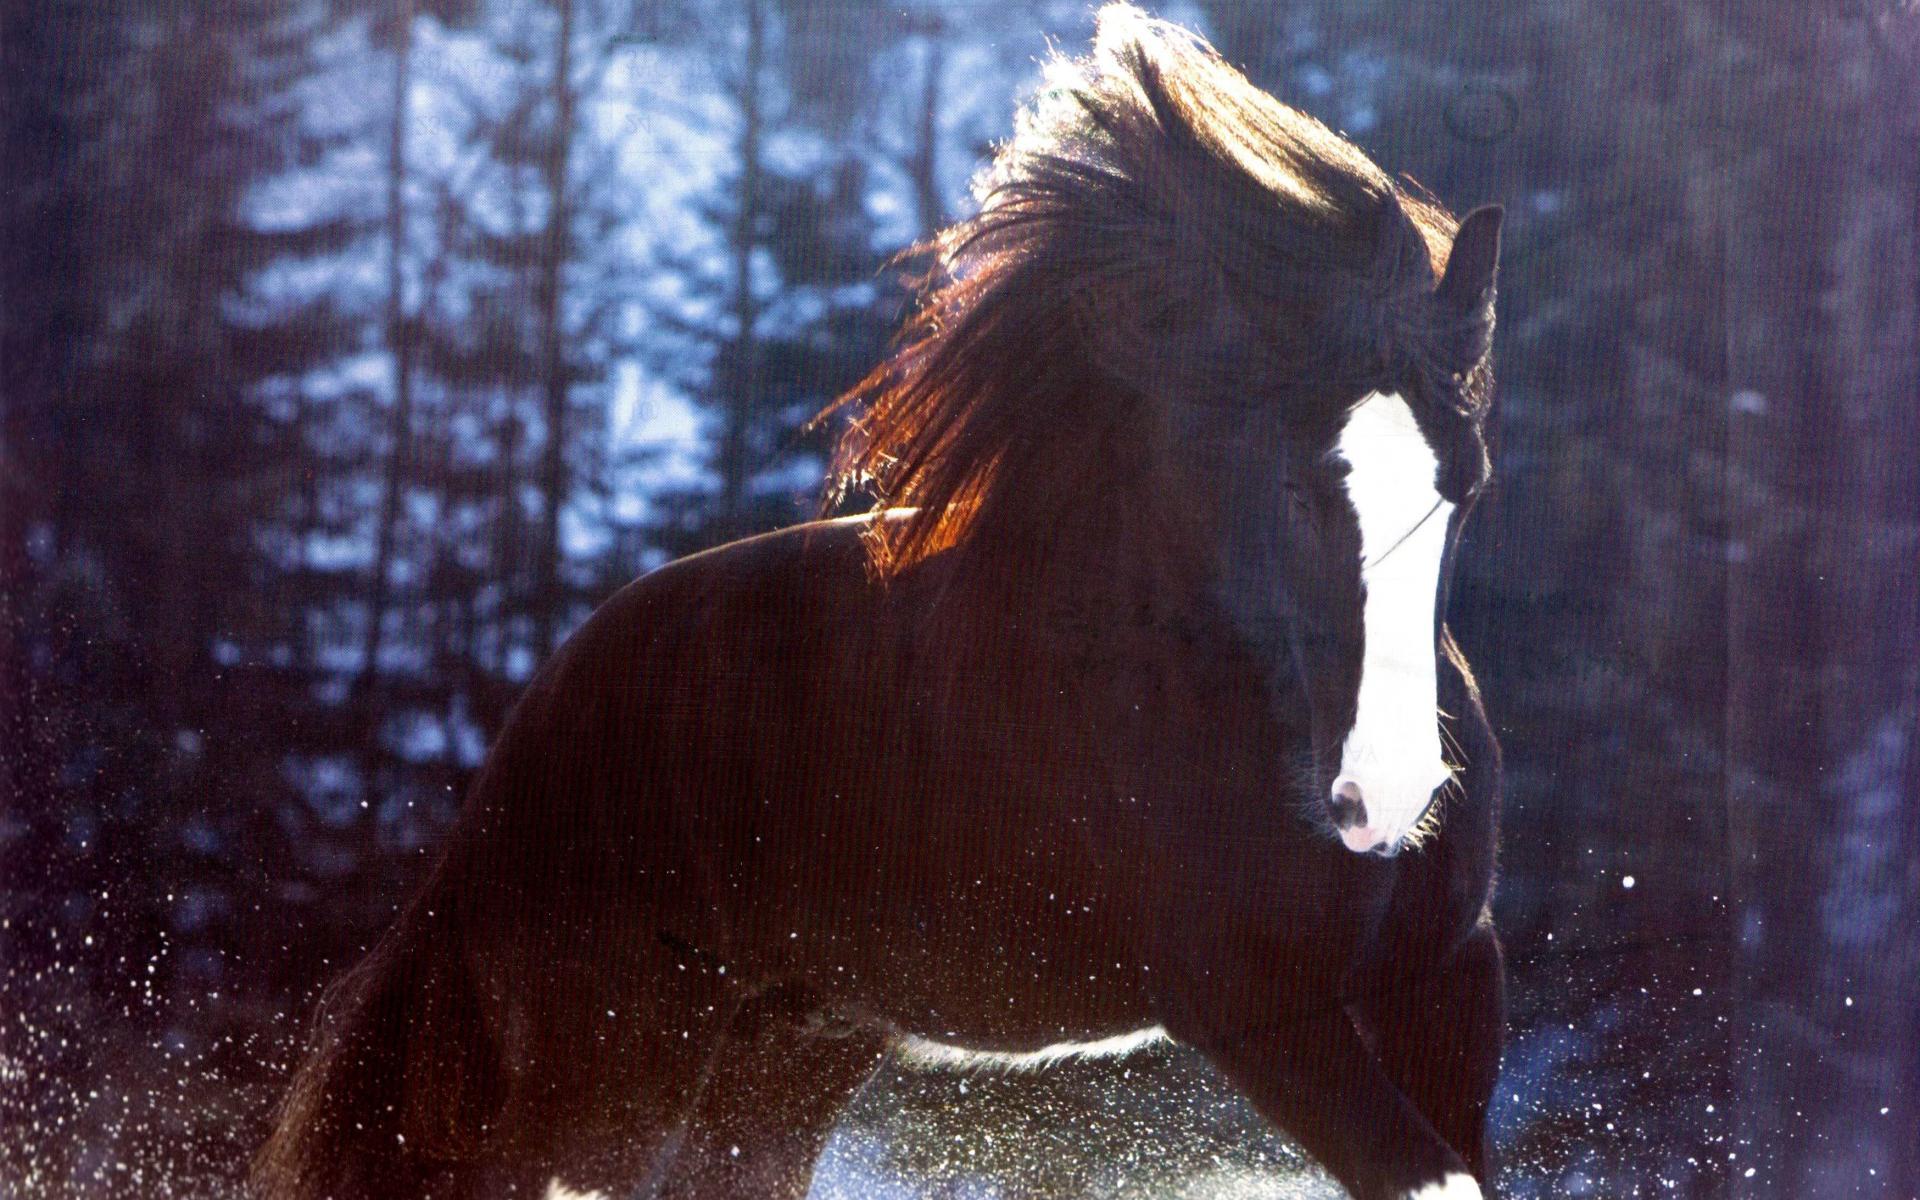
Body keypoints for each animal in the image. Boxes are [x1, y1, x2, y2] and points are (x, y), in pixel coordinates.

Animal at [253, 8, 1507, 1199]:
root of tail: (535, 728)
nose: (1386, 797)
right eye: (1299, 488)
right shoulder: (1253, 1006)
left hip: (788, 1042)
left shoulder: (1447, 974)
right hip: (613, 1052)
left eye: (1466, 483)